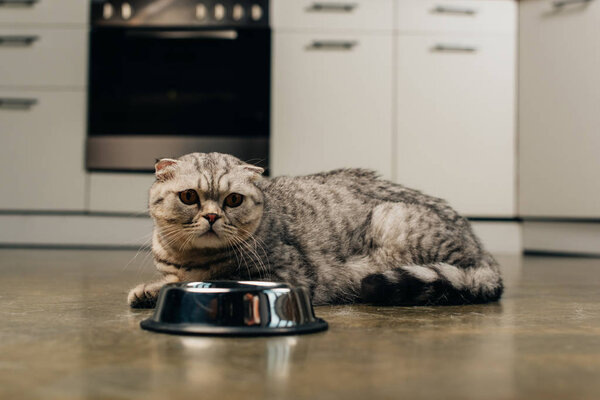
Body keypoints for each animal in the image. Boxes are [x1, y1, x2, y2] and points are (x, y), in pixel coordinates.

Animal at [126, 152, 502, 308]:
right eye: (189, 197)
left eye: (233, 200)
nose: (212, 217)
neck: (190, 258)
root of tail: (484, 251)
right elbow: (173, 282)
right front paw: (149, 290)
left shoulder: (285, 275)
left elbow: (213, 281)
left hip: (394, 220)